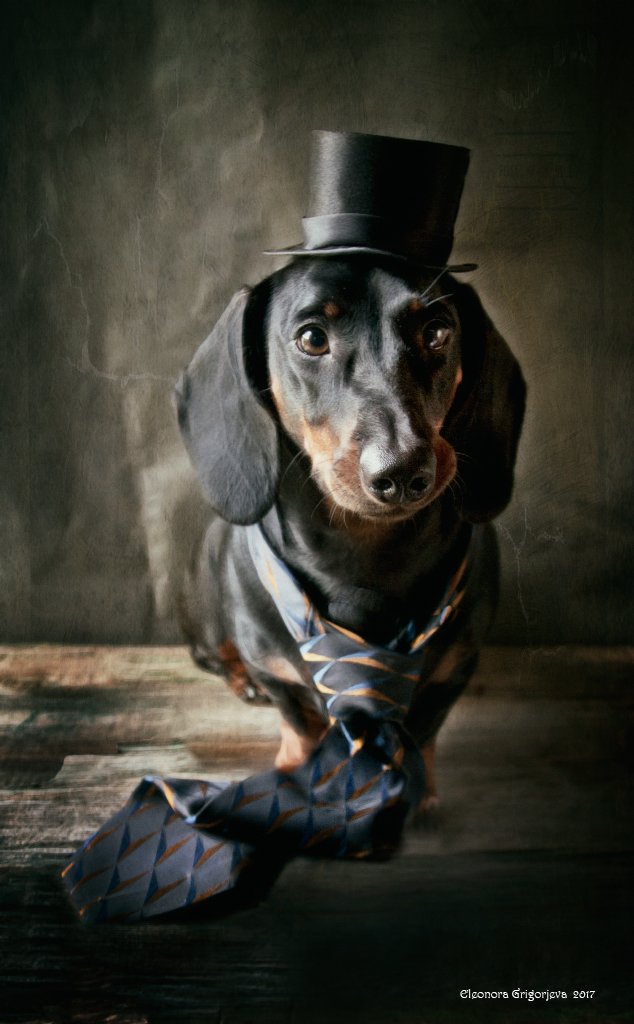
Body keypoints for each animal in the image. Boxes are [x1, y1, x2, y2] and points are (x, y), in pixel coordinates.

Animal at [175, 254, 526, 815]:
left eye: (437, 331)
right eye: (312, 338)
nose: (402, 471)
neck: (361, 557)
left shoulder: (456, 669)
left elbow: (425, 727)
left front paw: (420, 791)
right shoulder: (279, 675)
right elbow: (299, 720)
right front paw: (294, 772)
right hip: (207, 622)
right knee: (213, 655)